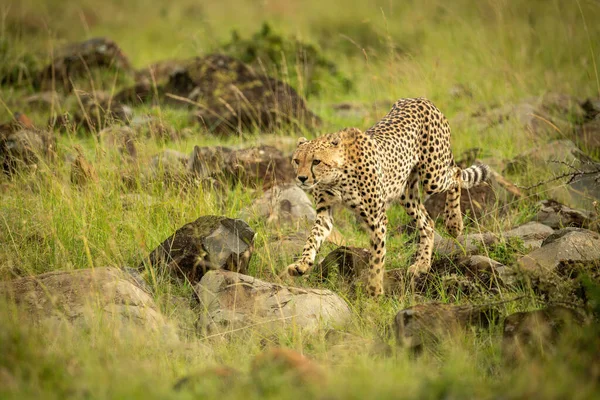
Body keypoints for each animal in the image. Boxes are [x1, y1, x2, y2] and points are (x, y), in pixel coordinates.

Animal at [288, 97, 490, 296]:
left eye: (316, 161)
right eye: (296, 161)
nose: (302, 178)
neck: (335, 178)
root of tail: (420, 99)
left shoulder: (376, 218)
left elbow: (377, 256)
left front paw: (375, 291)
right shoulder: (325, 211)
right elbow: (312, 238)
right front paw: (301, 264)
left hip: (433, 175)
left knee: (456, 173)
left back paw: (454, 224)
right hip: (406, 192)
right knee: (427, 222)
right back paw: (422, 264)